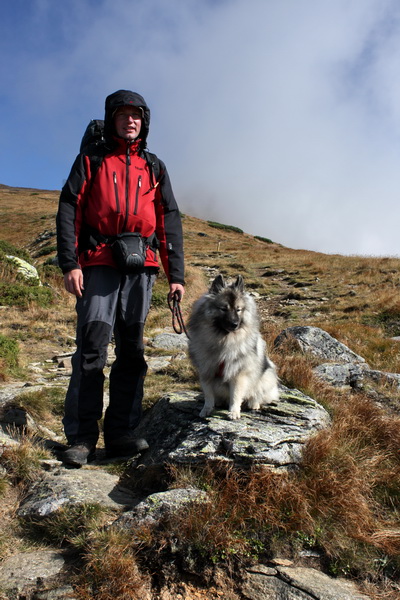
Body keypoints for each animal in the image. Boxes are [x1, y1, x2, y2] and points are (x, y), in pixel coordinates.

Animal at [188, 274, 278, 420]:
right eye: (223, 309)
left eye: (238, 309)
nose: (235, 324)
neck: (223, 340)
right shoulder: (206, 372)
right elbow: (208, 395)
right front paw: (206, 409)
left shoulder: (237, 373)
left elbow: (235, 395)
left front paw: (234, 412)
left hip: (267, 375)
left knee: (258, 394)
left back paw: (253, 403)